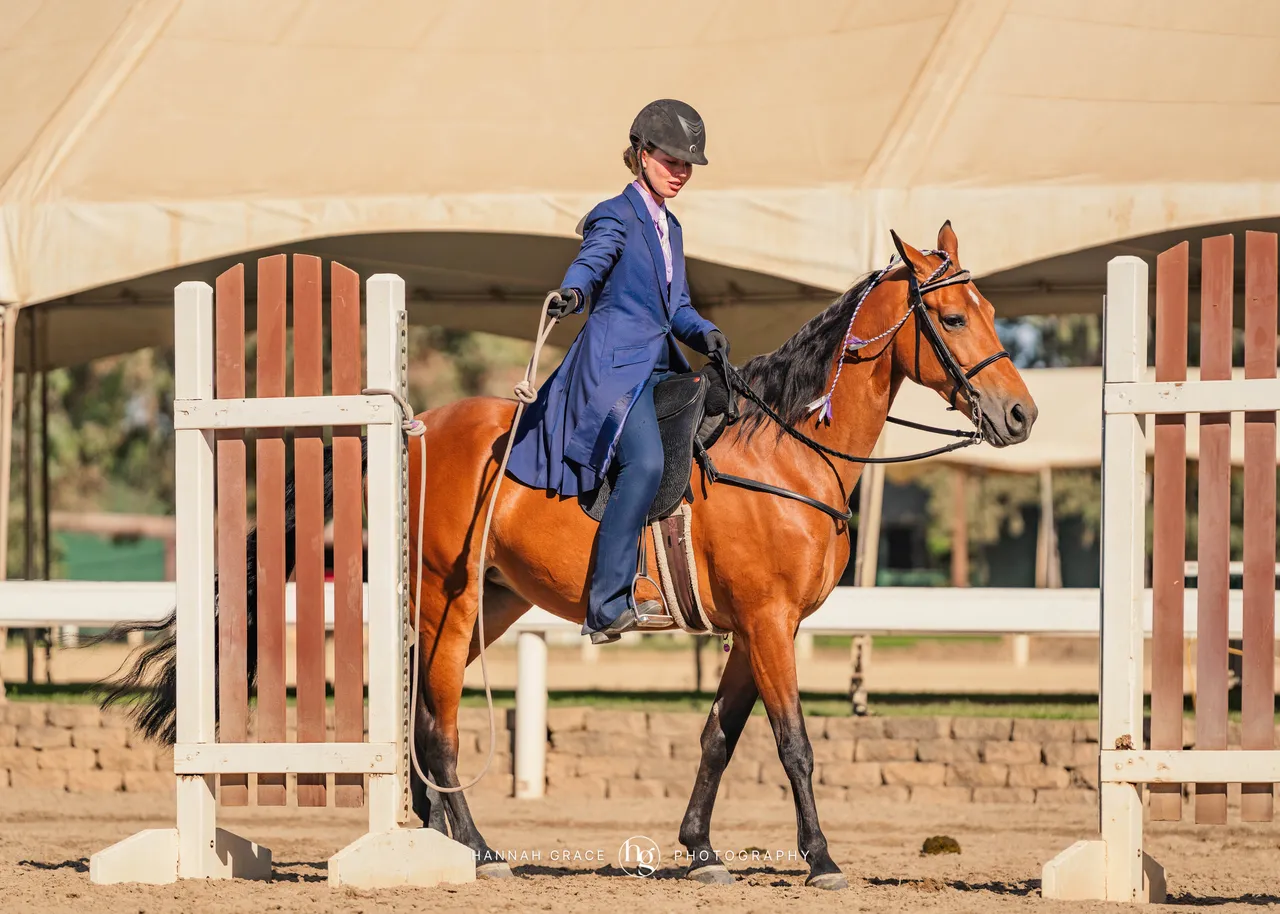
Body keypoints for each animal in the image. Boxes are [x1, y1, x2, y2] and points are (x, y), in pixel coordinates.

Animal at [101, 221, 1036, 890]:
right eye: (953, 317)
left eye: (993, 312)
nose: (1021, 415)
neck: (785, 448)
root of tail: (415, 429)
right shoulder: (770, 624)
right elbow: (793, 742)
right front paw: (823, 858)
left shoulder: (753, 630)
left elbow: (718, 737)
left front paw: (701, 850)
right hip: (444, 604)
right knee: (435, 723)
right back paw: (476, 851)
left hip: (489, 604)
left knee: (418, 716)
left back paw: (446, 838)